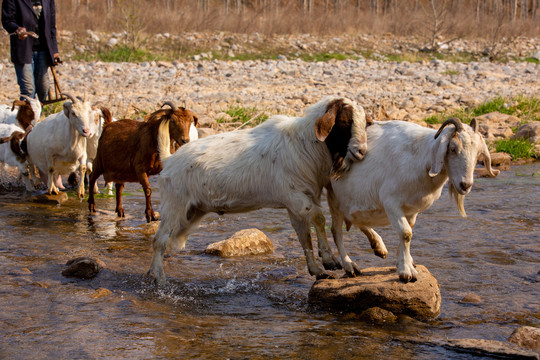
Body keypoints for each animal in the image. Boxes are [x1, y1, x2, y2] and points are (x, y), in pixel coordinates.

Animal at [149, 96, 372, 284]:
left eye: (365, 123)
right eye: (344, 122)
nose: (361, 151)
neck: (304, 145)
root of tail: (168, 160)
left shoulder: (296, 203)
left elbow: (303, 236)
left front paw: (318, 271)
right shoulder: (295, 195)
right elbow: (319, 218)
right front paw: (329, 260)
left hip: (192, 212)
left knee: (168, 239)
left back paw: (152, 272)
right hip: (174, 205)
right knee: (160, 240)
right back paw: (159, 278)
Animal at [324, 117, 498, 282]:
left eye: (478, 153)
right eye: (453, 148)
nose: (465, 185)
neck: (420, 157)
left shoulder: (412, 209)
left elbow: (409, 232)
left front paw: (405, 264)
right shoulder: (391, 203)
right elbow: (406, 233)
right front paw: (406, 273)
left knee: (356, 218)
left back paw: (378, 246)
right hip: (333, 196)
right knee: (336, 230)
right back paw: (349, 265)